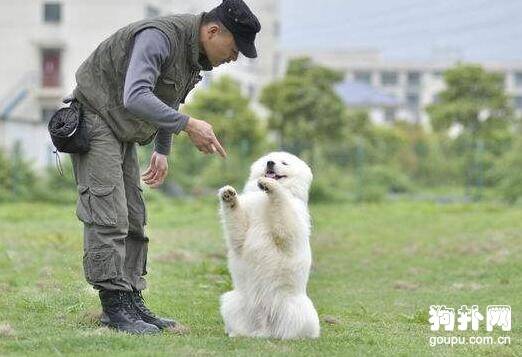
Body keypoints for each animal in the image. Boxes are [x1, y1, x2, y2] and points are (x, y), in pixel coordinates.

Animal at [217, 151, 318, 340]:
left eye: (284, 163)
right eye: (266, 160)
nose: (270, 163)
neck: (265, 199)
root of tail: (265, 328)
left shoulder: (291, 222)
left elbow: (283, 213)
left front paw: (270, 185)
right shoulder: (245, 224)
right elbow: (238, 231)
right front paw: (228, 195)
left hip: (297, 308)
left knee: (293, 326)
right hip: (234, 301)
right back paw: (238, 333)